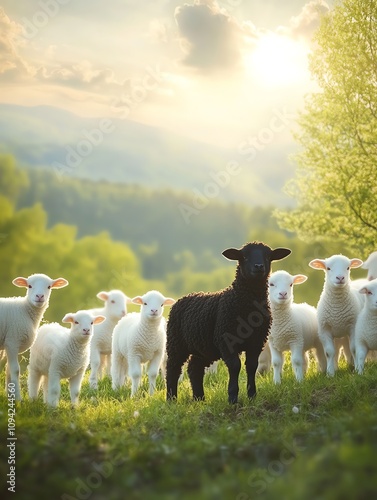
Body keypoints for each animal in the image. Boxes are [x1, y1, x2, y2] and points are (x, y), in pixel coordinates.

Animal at [0, 272, 68, 400]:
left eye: (49, 287)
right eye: (29, 286)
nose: (39, 296)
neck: (24, 310)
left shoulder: (10, 343)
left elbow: (8, 370)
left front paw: (9, 396)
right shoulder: (12, 341)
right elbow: (15, 370)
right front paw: (18, 399)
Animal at [165, 241, 290, 402]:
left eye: (268, 256)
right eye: (244, 256)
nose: (258, 266)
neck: (245, 304)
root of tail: (186, 296)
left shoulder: (256, 341)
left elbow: (252, 366)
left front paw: (252, 395)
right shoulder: (226, 340)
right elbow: (235, 366)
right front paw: (232, 397)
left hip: (204, 347)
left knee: (194, 367)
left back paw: (199, 398)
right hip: (176, 342)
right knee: (173, 368)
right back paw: (171, 399)